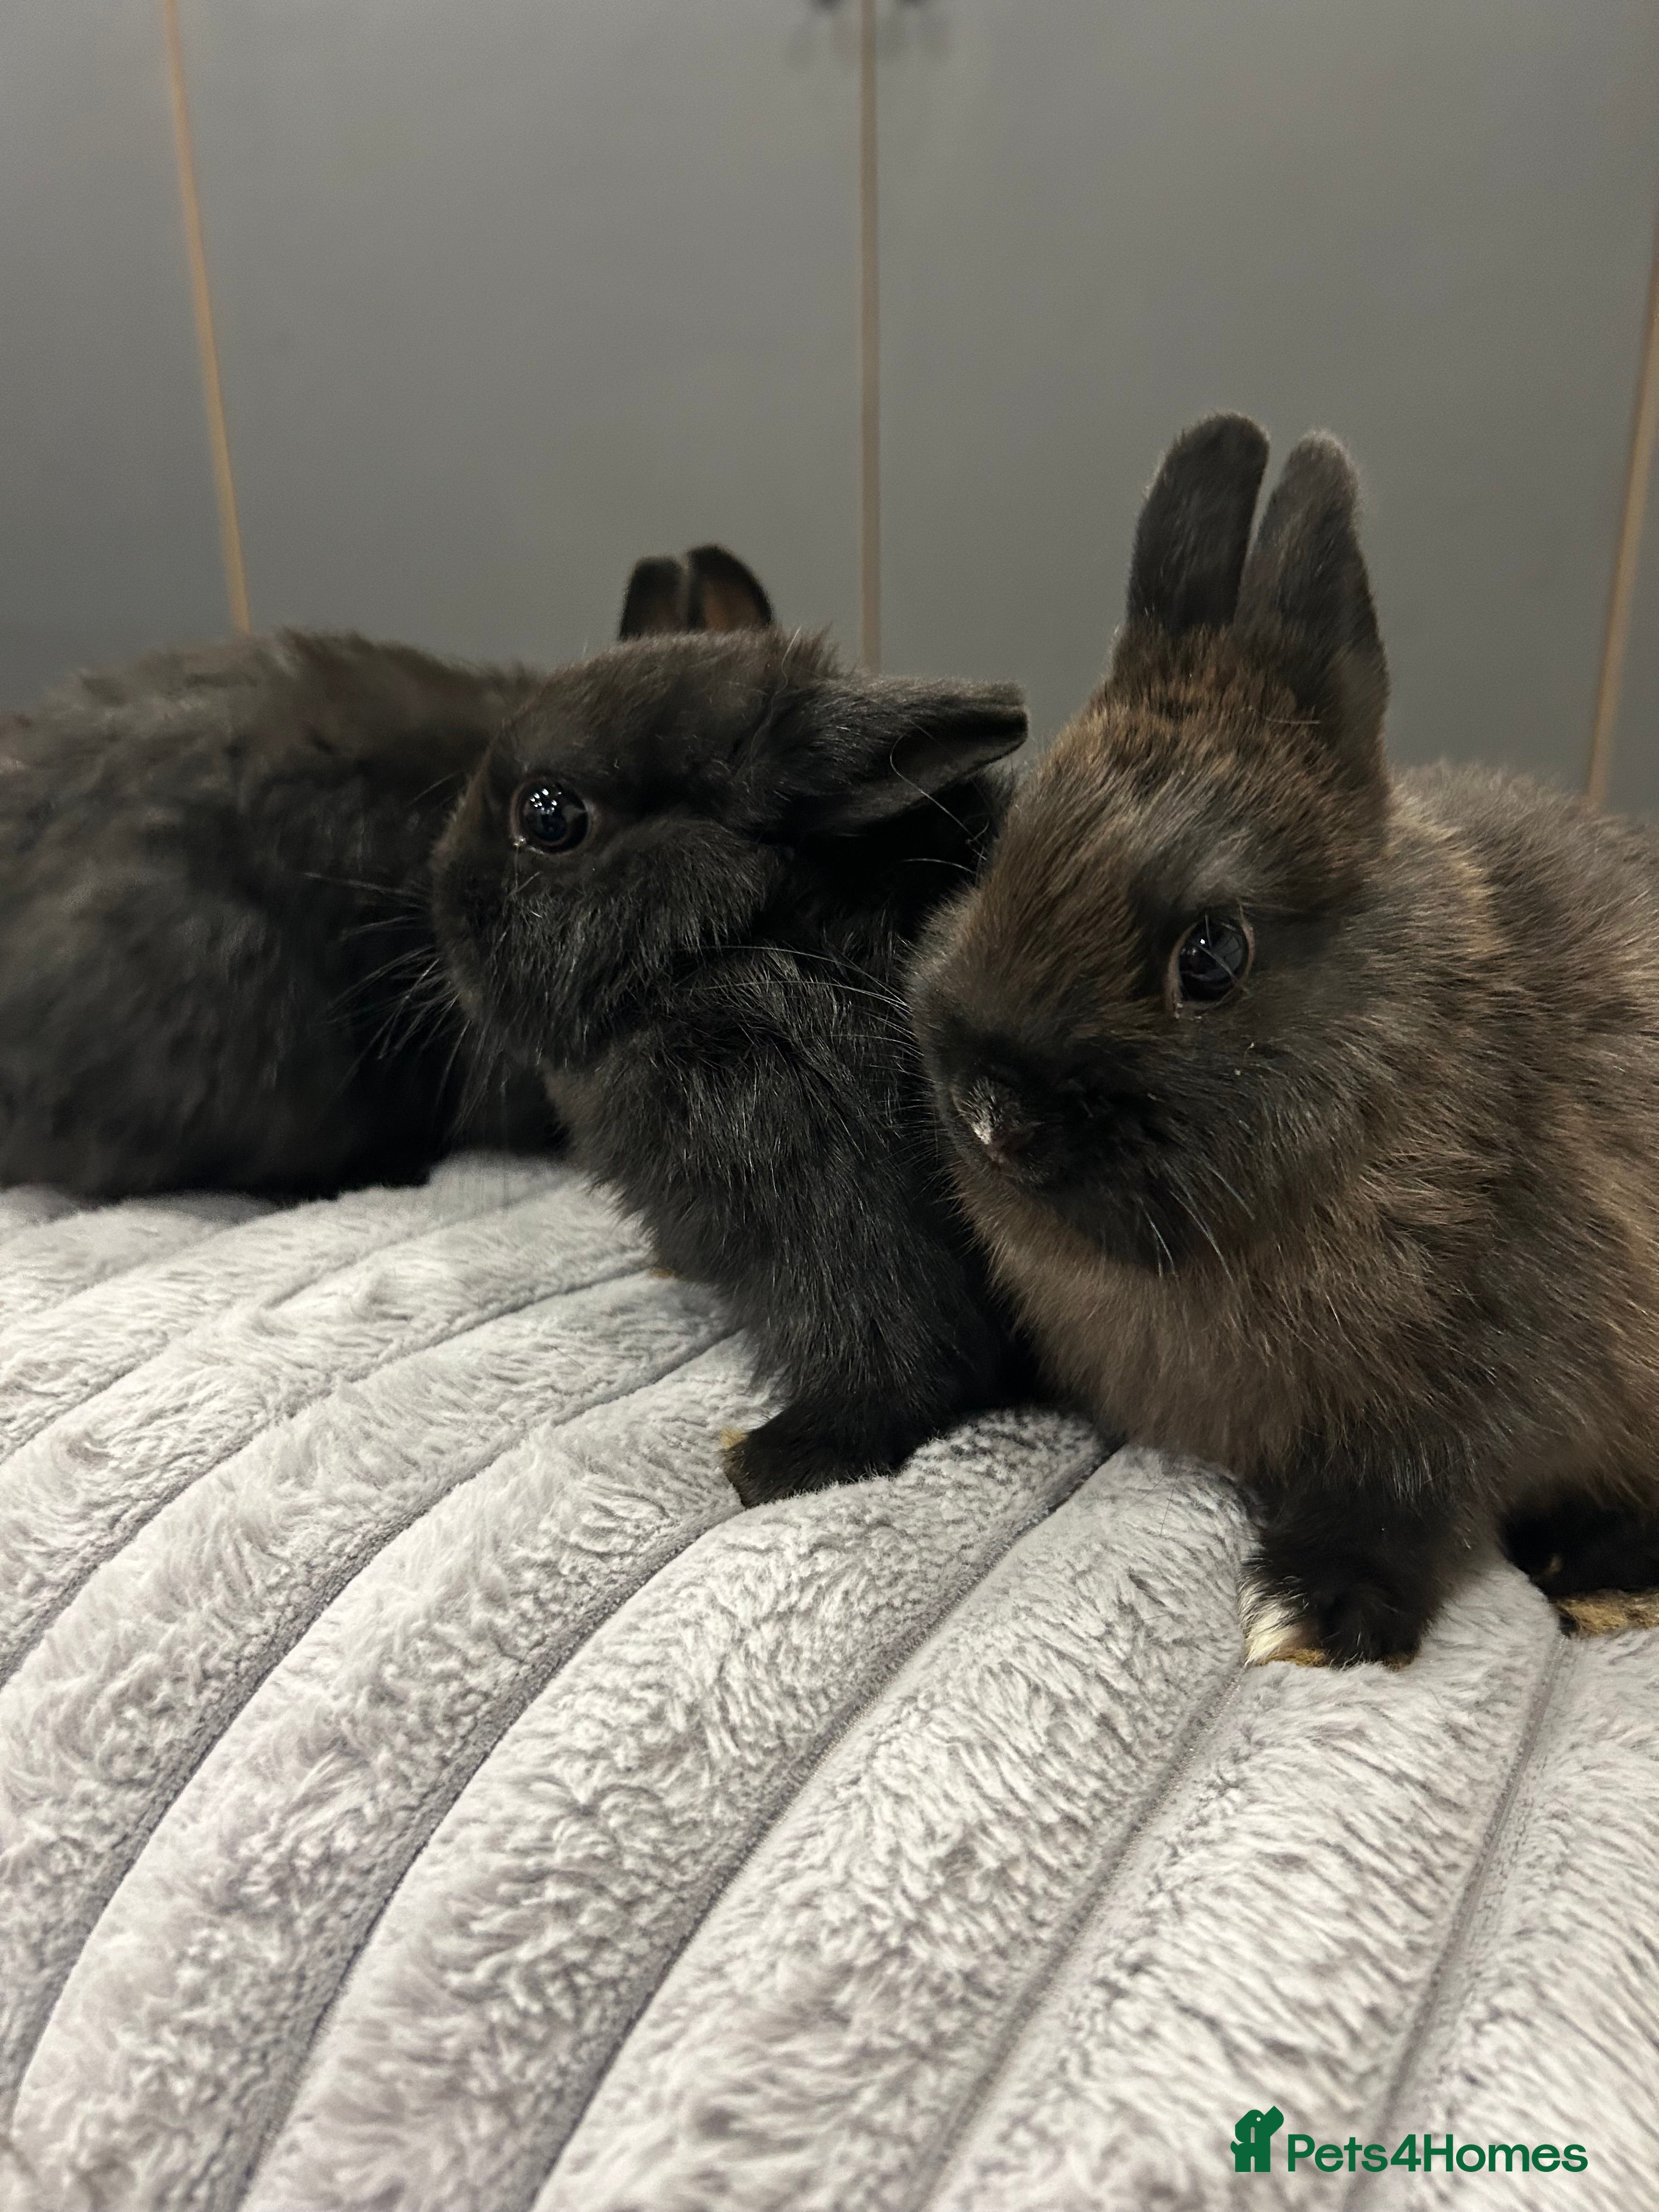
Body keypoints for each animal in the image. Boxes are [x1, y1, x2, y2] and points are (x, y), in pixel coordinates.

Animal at [429, 623, 1034, 1504]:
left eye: (549, 816)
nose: (439, 897)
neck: (719, 948)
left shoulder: (828, 1190)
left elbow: (900, 1354)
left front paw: (769, 1463)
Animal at [910, 410, 1659, 1666]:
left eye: (1212, 955)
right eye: (1006, 851)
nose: (992, 1113)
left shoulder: (1496, 1373)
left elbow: (1418, 1487)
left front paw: (1310, 1612)